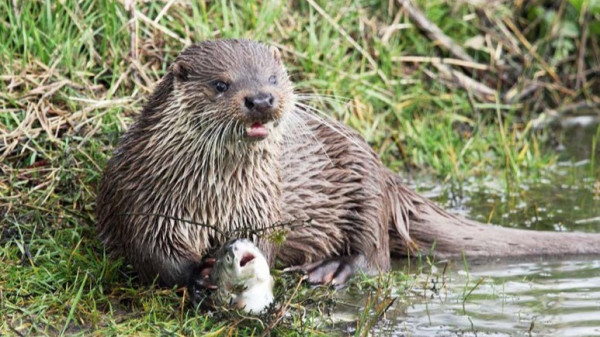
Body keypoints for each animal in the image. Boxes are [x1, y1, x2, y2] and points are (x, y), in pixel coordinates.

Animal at [96, 38, 600, 288]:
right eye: (221, 84)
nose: (261, 98)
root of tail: (390, 176)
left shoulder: (265, 205)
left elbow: (269, 244)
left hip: (365, 188)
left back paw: (331, 270)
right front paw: (195, 277)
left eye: (275, 77)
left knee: (376, 257)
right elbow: (150, 255)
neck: (214, 196)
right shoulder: (139, 200)